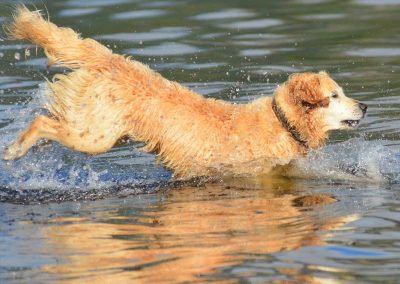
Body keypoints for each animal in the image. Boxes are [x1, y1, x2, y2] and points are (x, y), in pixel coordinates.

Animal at [3, 6, 368, 178]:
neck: (282, 122)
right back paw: (14, 150)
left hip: (99, 128)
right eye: (334, 96)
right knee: (42, 122)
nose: (364, 106)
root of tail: (110, 59)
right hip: (95, 137)